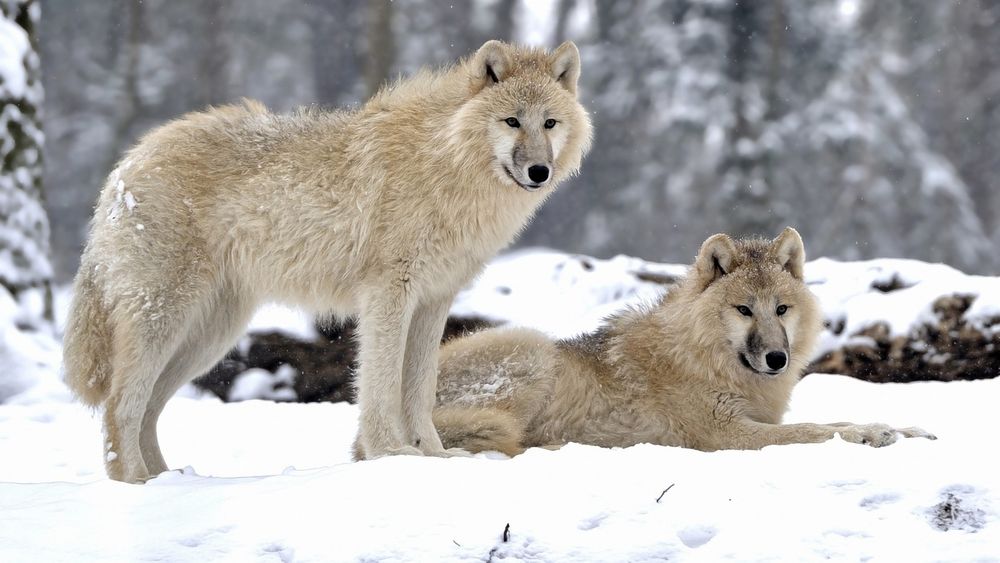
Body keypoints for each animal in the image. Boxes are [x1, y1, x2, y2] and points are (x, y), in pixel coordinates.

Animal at [432, 227, 936, 456]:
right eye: (744, 310)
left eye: (781, 309)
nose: (777, 358)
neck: (703, 357)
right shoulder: (728, 434)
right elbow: (815, 429)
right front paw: (867, 434)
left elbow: (835, 418)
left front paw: (909, 430)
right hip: (531, 349)